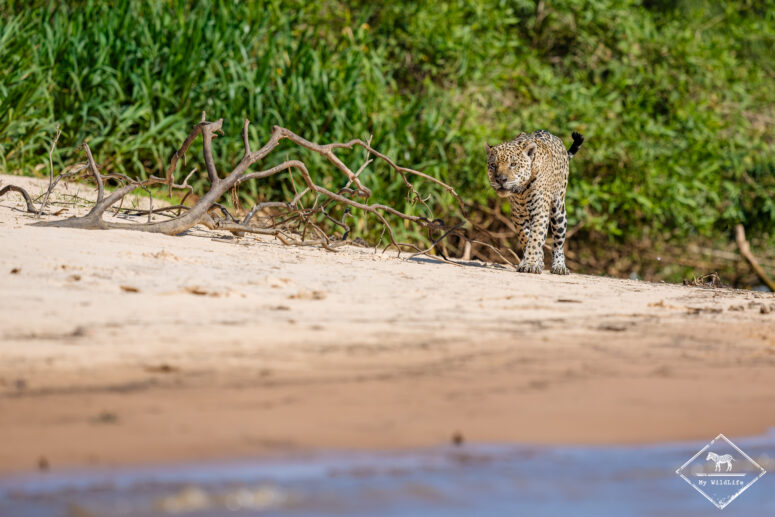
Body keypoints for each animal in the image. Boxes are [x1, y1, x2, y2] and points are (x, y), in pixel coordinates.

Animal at [485, 130, 584, 275]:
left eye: (513, 164)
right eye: (493, 166)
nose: (500, 179)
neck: (521, 191)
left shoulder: (540, 211)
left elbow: (536, 236)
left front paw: (531, 264)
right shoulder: (518, 215)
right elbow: (526, 237)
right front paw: (535, 260)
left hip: (559, 210)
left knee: (559, 242)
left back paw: (559, 266)